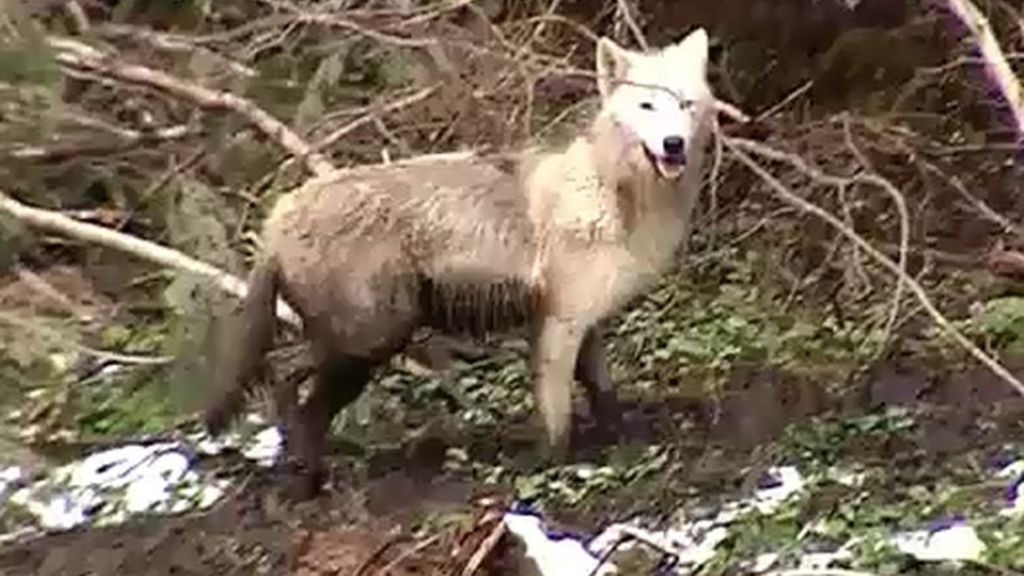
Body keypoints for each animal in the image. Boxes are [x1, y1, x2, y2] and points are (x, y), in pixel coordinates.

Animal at [201, 27, 717, 497]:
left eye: (686, 105)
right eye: (647, 107)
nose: (674, 144)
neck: (612, 193)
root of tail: (279, 216)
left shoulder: (581, 322)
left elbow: (605, 395)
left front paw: (624, 444)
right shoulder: (560, 323)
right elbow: (557, 416)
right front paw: (555, 468)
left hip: (362, 344)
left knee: (292, 390)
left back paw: (306, 472)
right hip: (372, 340)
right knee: (283, 377)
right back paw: (304, 476)